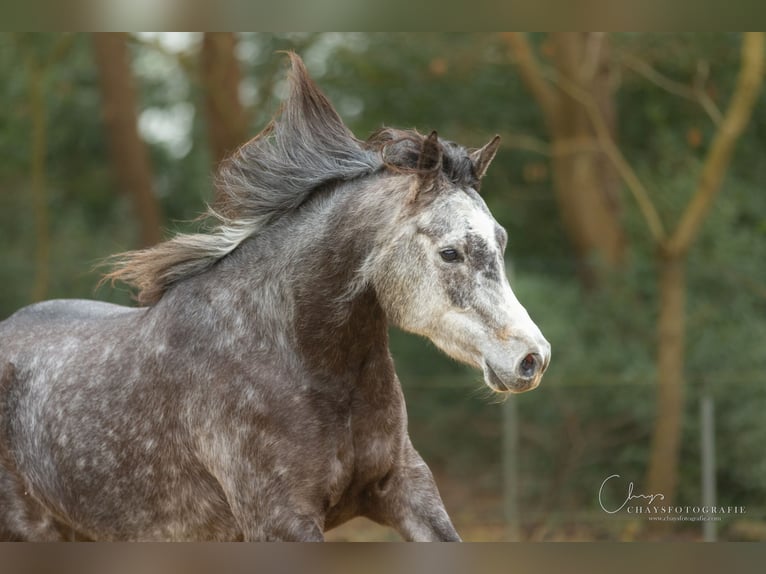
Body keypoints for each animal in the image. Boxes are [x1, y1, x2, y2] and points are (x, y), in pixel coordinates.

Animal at [0, 51, 552, 544]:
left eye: (500, 240)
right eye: (450, 252)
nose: (532, 358)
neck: (294, 356)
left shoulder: (406, 489)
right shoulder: (280, 520)